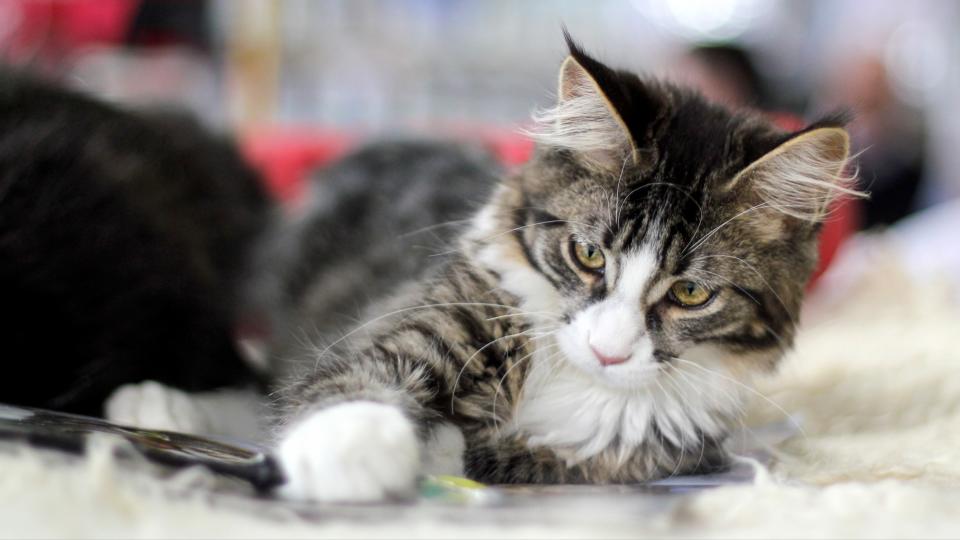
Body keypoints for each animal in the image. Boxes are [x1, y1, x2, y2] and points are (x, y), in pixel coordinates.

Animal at [270, 35, 864, 502]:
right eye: (589, 255)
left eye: (692, 293)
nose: (607, 352)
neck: (577, 379)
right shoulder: (426, 321)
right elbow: (364, 377)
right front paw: (344, 448)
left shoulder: (635, 454)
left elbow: (507, 456)